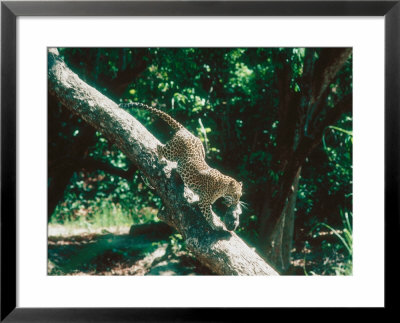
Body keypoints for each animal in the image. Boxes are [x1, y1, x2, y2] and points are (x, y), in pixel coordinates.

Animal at [120, 102, 242, 232]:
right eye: (235, 195)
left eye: (240, 196)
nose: (237, 203)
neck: (221, 187)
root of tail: (185, 131)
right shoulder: (204, 202)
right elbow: (208, 215)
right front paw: (215, 226)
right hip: (172, 152)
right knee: (159, 147)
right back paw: (161, 161)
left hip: (201, 149)